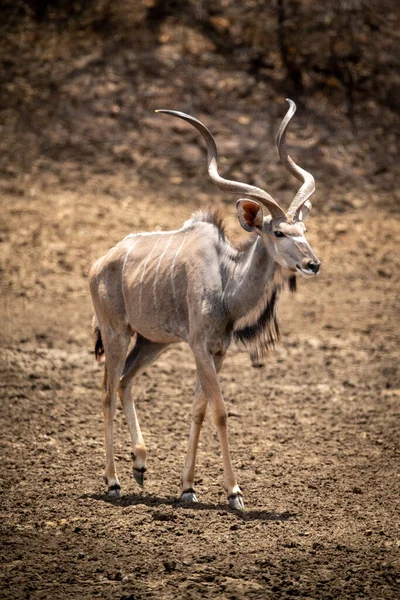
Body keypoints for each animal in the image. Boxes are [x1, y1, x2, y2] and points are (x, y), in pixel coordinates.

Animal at [89, 99, 320, 510]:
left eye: (304, 230)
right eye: (278, 232)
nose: (313, 264)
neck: (225, 281)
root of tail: (99, 264)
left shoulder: (218, 349)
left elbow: (198, 410)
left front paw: (187, 488)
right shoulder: (199, 347)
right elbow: (221, 411)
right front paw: (234, 492)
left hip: (152, 342)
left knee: (124, 381)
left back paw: (140, 464)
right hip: (117, 333)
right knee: (106, 389)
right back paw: (114, 482)